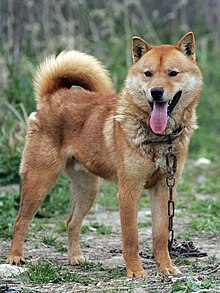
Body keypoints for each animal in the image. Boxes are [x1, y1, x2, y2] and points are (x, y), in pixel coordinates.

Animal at [6, 32, 203, 276]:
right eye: (148, 74)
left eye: (173, 73)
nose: (156, 92)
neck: (160, 137)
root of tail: (53, 95)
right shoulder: (128, 191)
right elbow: (131, 237)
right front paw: (135, 271)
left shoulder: (164, 190)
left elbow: (160, 235)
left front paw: (166, 267)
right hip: (39, 182)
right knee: (20, 221)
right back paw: (15, 257)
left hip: (88, 190)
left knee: (71, 222)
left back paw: (75, 257)